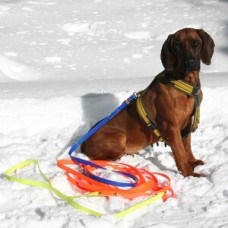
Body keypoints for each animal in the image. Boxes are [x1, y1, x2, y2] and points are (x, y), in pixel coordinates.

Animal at [81, 28, 214, 178]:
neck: (184, 83)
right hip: (119, 137)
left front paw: (192, 162)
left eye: (196, 42)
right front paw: (189, 173)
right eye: (178, 45)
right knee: (98, 159)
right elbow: (180, 152)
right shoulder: (171, 126)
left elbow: (187, 146)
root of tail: (83, 143)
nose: (189, 62)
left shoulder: (187, 123)